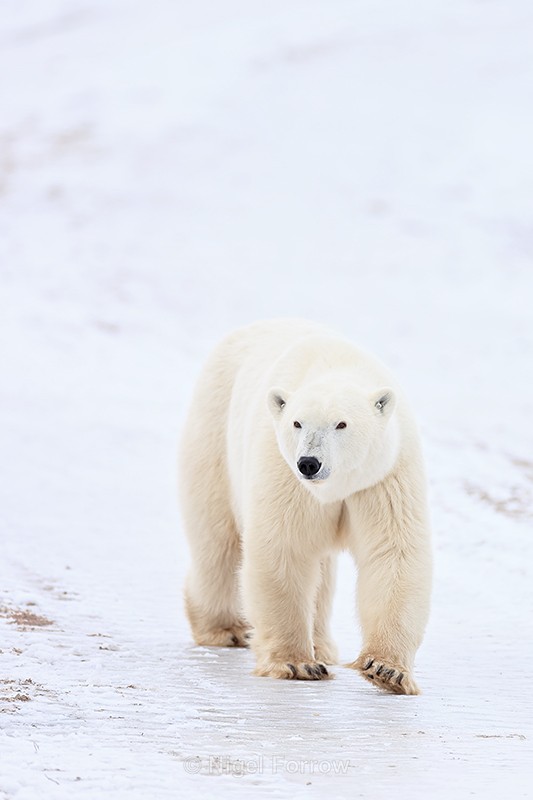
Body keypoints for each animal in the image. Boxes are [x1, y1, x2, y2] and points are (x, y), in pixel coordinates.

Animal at [179, 319, 432, 695]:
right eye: (297, 423)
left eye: (341, 423)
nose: (309, 463)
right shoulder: (285, 473)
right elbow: (285, 547)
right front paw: (296, 663)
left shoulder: (384, 477)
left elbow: (392, 552)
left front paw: (387, 670)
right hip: (214, 432)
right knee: (217, 541)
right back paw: (226, 629)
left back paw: (322, 645)